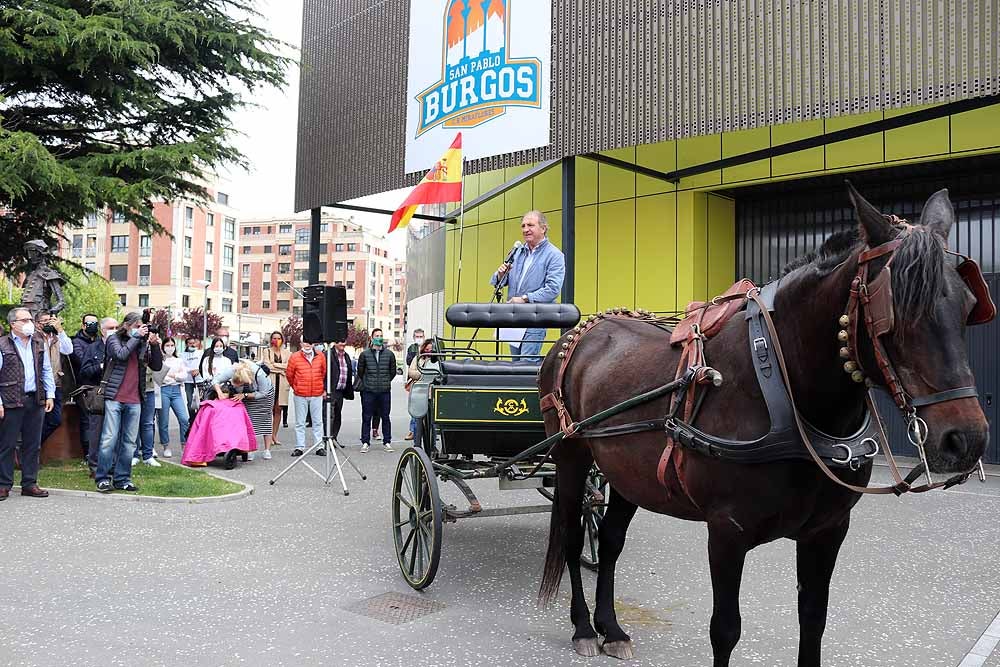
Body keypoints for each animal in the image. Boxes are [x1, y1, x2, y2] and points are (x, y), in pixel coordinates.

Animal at [536, 184, 988, 667]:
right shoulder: (727, 532)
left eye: (968, 305)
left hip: (626, 472)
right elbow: (725, 631)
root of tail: (580, 332)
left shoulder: (827, 532)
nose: (967, 438)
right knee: (571, 535)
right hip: (571, 455)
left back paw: (611, 627)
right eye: (895, 311)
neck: (784, 393)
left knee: (611, 541)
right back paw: (584, 627)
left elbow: (813, 622)